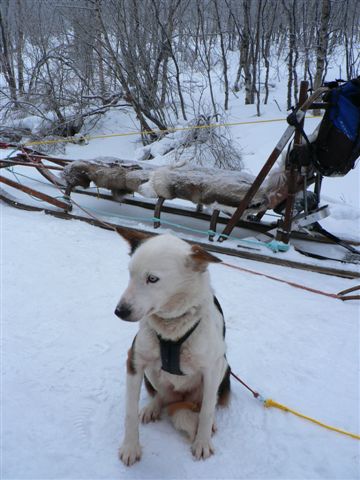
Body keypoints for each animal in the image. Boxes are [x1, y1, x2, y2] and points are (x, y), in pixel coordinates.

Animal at [114, 229, 231, 464]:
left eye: (152, 279)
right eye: (130, 273)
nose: (120, 311)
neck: (171, 328)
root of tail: (182, 399)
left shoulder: (212, 368)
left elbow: (206, 410)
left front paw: (202, 441)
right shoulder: (135, 360)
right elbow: (130, 412)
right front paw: (131, 446)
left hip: (224, 368)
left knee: (205, 402)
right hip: (152, 372)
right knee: (163, 396)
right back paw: (153, 407)